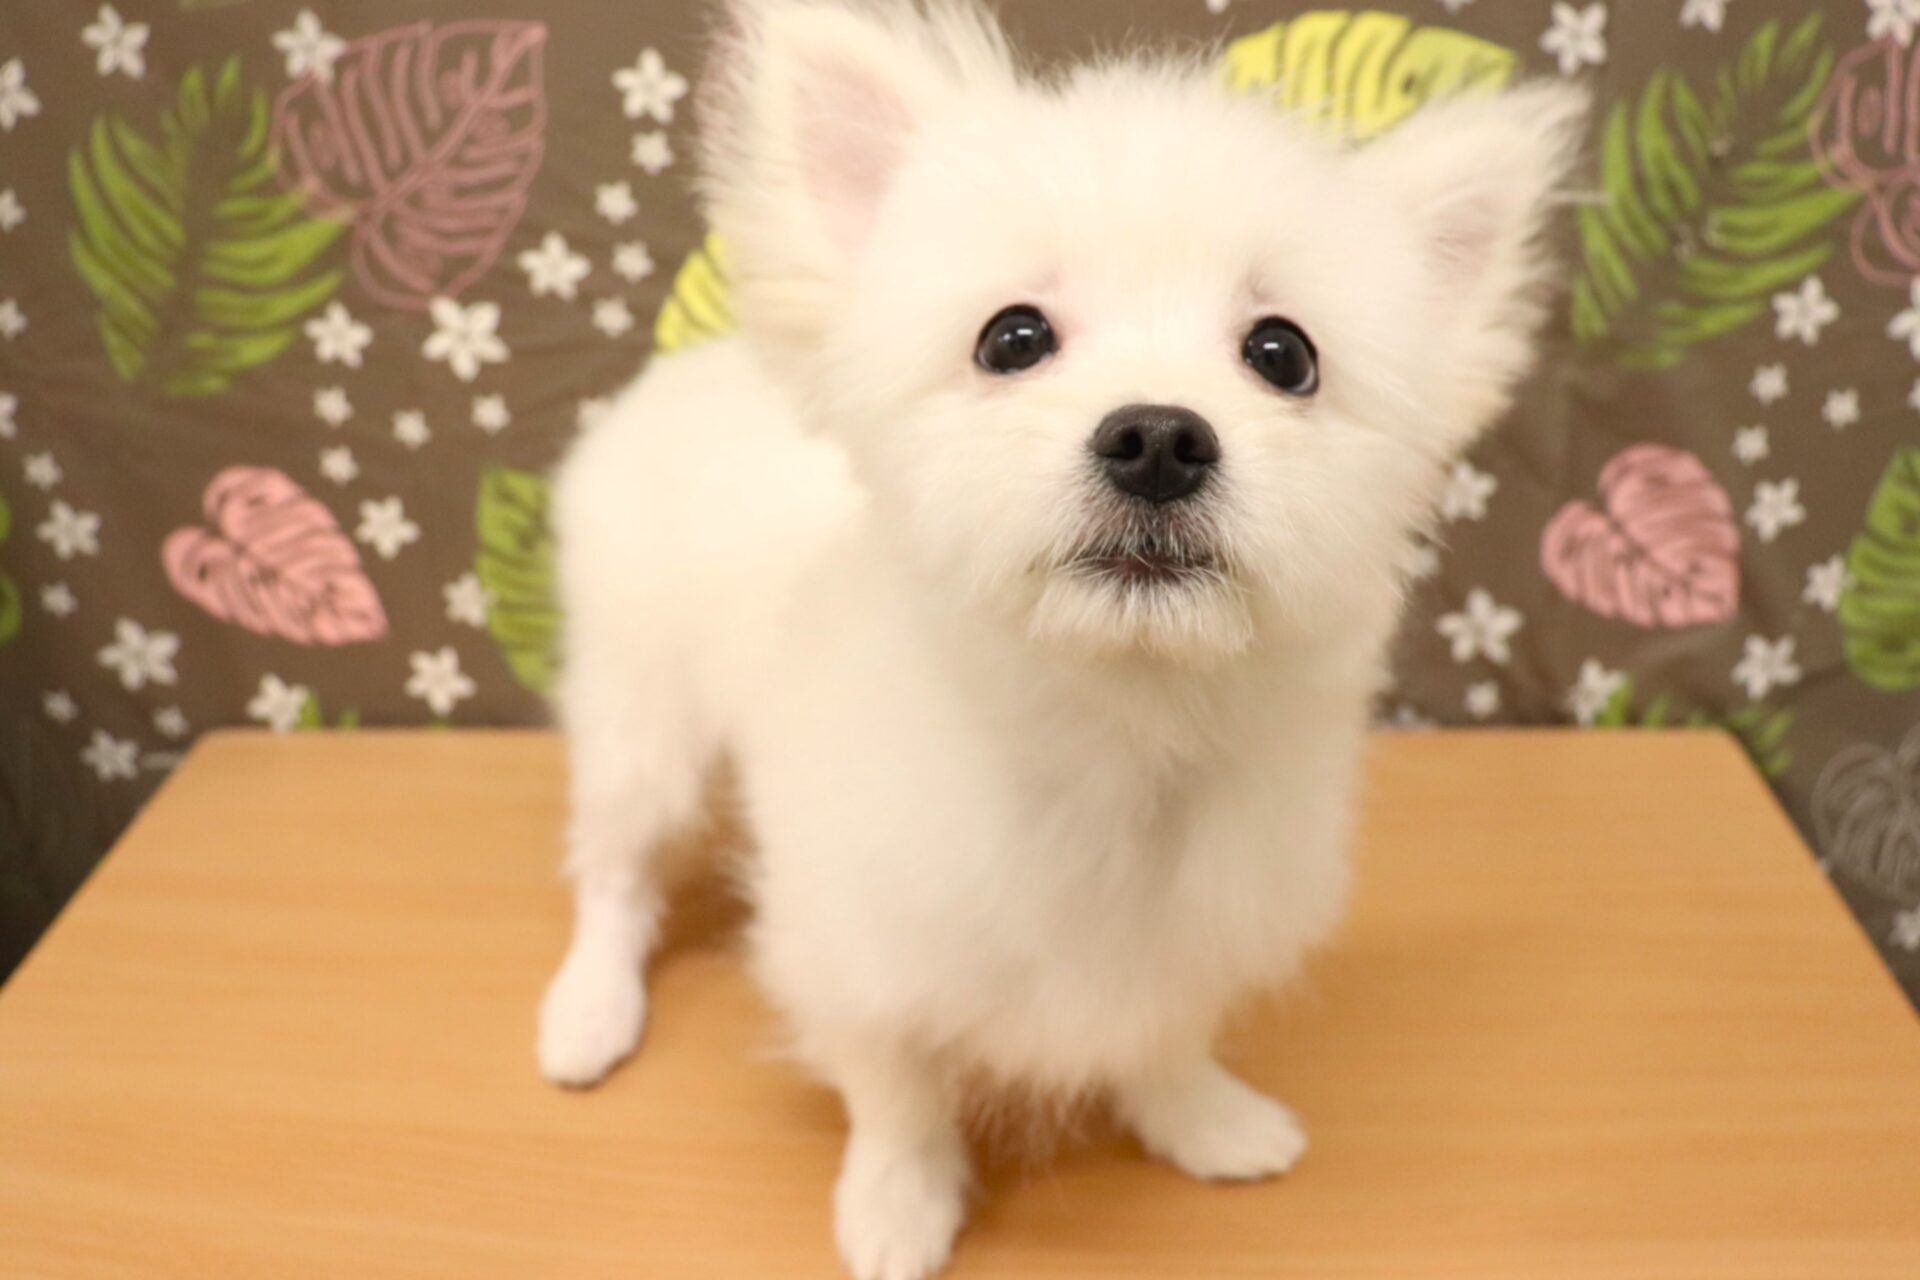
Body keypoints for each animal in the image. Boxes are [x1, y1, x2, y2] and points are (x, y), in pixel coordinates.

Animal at [537, 3, 1583, 1276]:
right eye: (1014, 337)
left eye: (1283, 354)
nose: (1158, 436)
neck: (1110, 738)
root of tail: (698, 366)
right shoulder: (853, 950)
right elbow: (896, 1087)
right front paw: (898, 1200)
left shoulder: (1192, 934)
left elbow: (1165, 1036)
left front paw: (1201, 1119)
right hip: (641, 712)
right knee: (615, 868)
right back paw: (591, 1007)